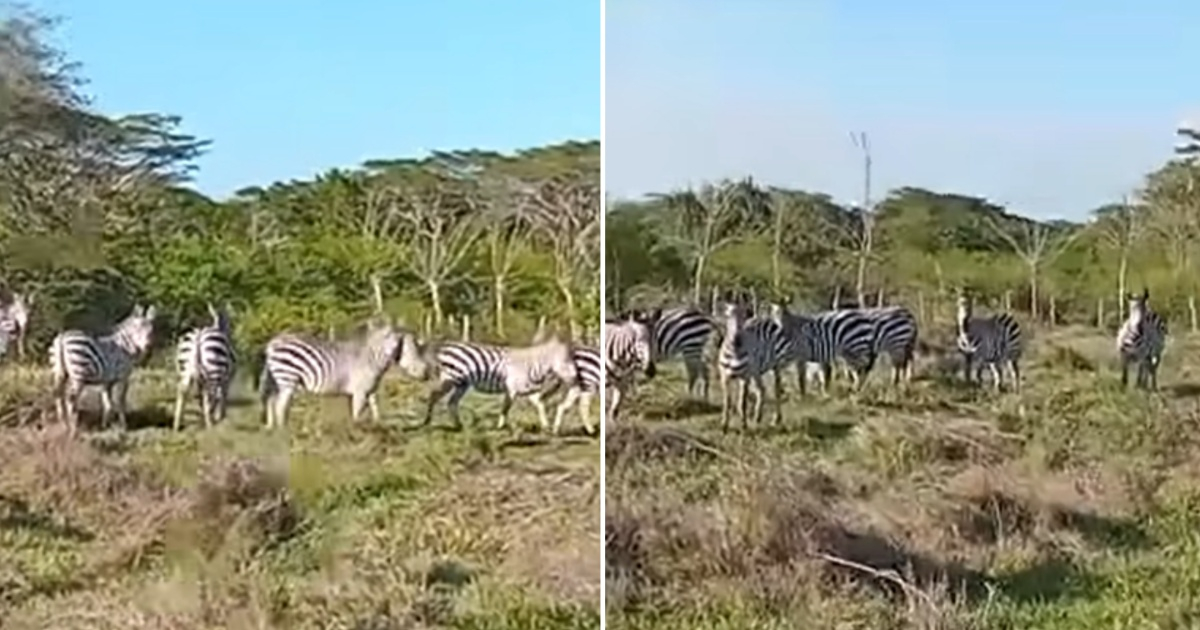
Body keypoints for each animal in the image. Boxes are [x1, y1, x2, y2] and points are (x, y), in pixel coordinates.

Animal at [50, 304, 158, 435]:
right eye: (137, 329)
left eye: (151, 331)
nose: (148, 347)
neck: (126, 346)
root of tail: (62, 337)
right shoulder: (123, 377)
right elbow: (120, 401)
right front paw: (123, 427)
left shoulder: (107, 381)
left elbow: (108, 403)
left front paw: (105, 426)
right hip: (78, 375)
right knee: (71, 399)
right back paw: (73, 429)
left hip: (60, 372)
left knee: (58, 395)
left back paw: (63, 425)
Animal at [173, 303, 238, 431]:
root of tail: (198, 336)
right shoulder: (227, 379)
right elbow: (222, 396)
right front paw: (219, 416)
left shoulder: (201, 381)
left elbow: (201, 398)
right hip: (214, 372)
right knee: (212, 394)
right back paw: (210, 424)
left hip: (185, 370)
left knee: (183, 391)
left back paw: (177, 424)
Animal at [258, 318, 430, 429]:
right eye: (408, 350)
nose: (426, 373)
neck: (371, 360)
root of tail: (272, 343)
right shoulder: (360, 391)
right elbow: (356, 414)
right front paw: (355, 434)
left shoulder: (370, 390)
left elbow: (375, 410)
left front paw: (378, 430)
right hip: (288, 379)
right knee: (280, 406)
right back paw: (285, 433)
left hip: (277, 380)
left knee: (271, 401)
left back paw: (272, 429)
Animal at [422, 334, 581, 432]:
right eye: (567, 361)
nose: (577, 378)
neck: (531, 365)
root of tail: (446, 346)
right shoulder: (511, 389)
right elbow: (506, 408)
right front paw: (501, 427)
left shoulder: (529, 391)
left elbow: (540, 405)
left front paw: (546, 426)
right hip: (450, 379)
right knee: (434, 395)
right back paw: (427, 421)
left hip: (462, 384)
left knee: (451, 402)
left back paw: (459, 426)